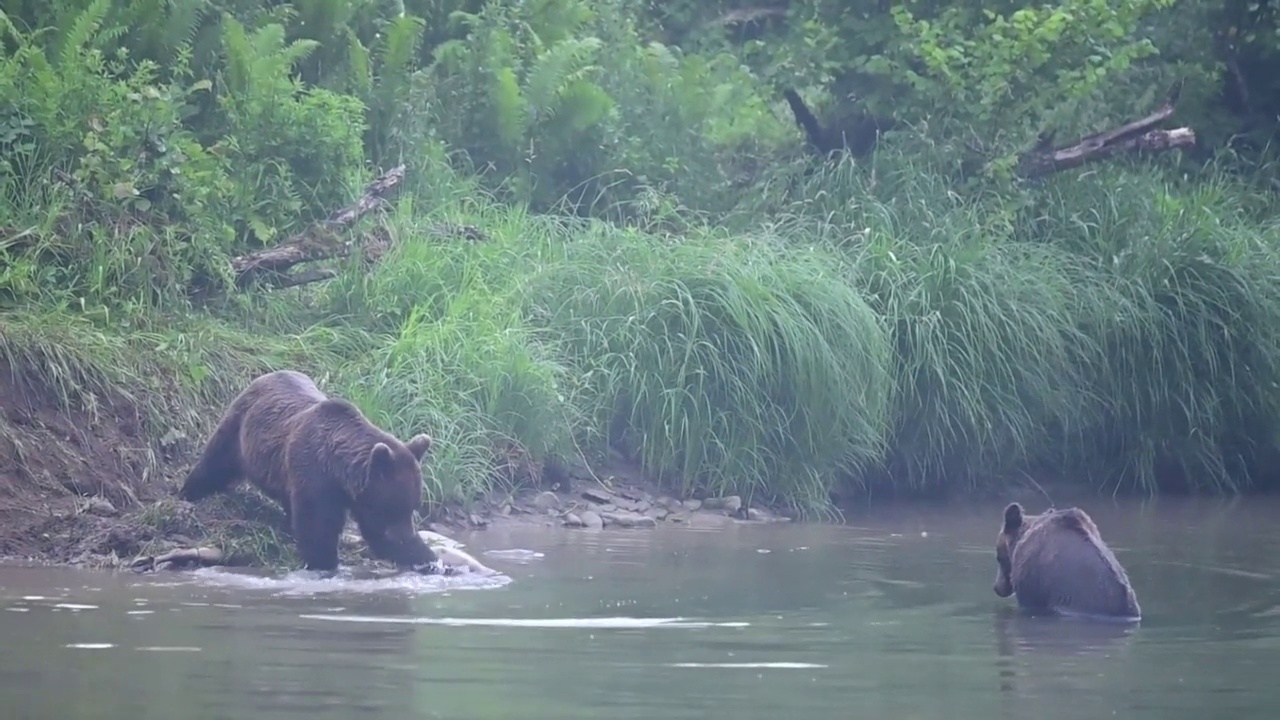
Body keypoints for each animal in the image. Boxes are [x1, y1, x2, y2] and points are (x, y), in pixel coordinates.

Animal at [177, 368, 440, 571]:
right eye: (393, 506)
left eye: (413, 506)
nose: (406, 536)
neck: (338, 470)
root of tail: (268, 374)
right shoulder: (316, 476)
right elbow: (318, 527)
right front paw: (324, 561)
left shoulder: (359, 498)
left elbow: (374, 532)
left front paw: (424, 556)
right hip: (239, 426)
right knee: (216, 460)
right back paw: (189, 491)